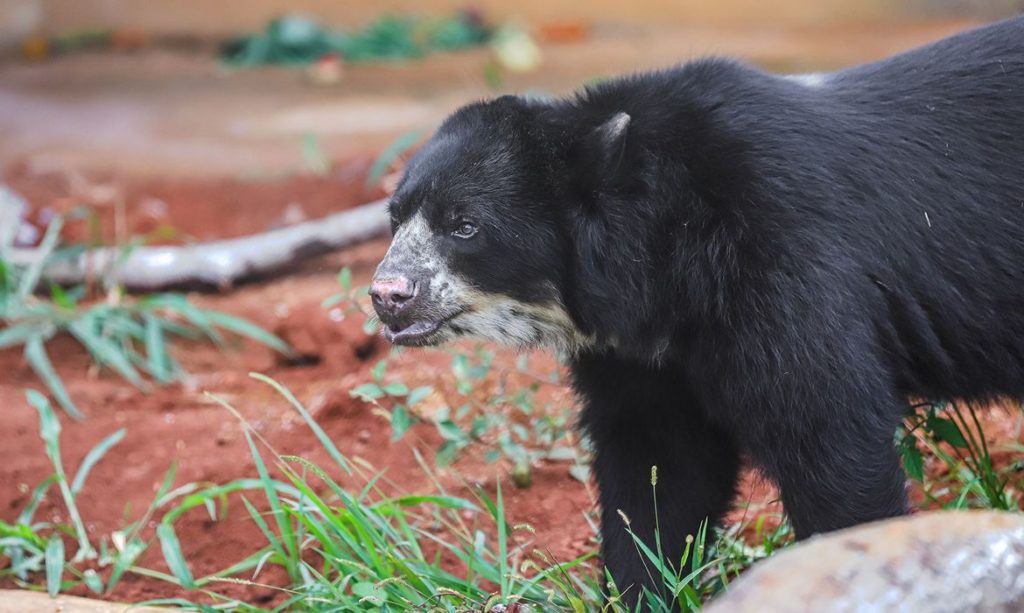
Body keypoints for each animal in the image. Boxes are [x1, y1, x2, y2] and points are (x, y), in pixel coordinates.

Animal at [368, 15, 1024, 607]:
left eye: (464, 226)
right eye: (395, 218)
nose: (387, 295)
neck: (665, 257)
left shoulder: (785, 263)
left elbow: (829, 433)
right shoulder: (642, 356)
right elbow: (660, 474)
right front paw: (643, 592)